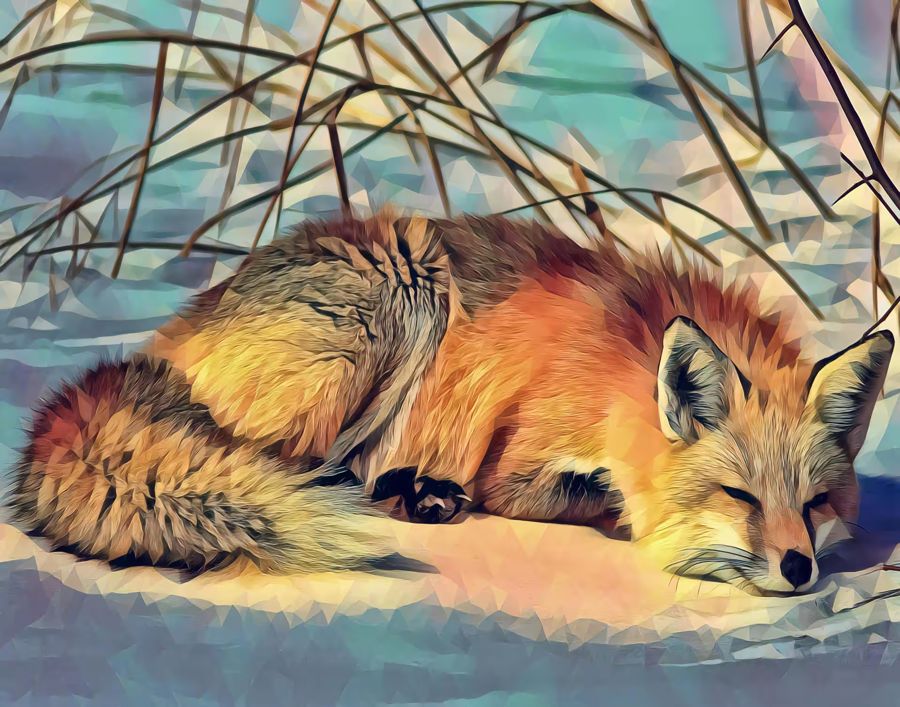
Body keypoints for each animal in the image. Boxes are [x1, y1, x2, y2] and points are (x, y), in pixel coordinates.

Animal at [8, 211, 894, 595]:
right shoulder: (518, 458)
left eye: (815, 503)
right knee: (285, 464)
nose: (799, 568)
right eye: (739, 496)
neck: (623, 371)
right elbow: (591, 501)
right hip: (398, 305)